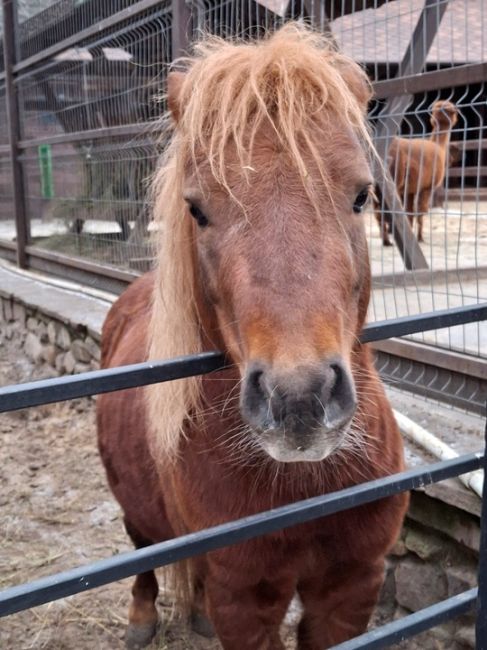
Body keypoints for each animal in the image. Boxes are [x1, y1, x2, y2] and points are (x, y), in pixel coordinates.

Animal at [97, 25, 410, 648]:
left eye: (362, 195)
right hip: (132, 506)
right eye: (197, 209)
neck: (303, 488)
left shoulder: (352, 585)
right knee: (142, 550)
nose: (300, 400)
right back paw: (142, 620)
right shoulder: (244, 600)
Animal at [376, 100, 460, 244]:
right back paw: (387, 240)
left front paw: (411, 235)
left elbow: (409, 211)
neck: (439, 148)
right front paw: (420, 238)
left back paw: (385, 240)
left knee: (377, 212)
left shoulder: (410, 189)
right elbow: (421, 211)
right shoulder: (427, 187)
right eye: (451, 109)